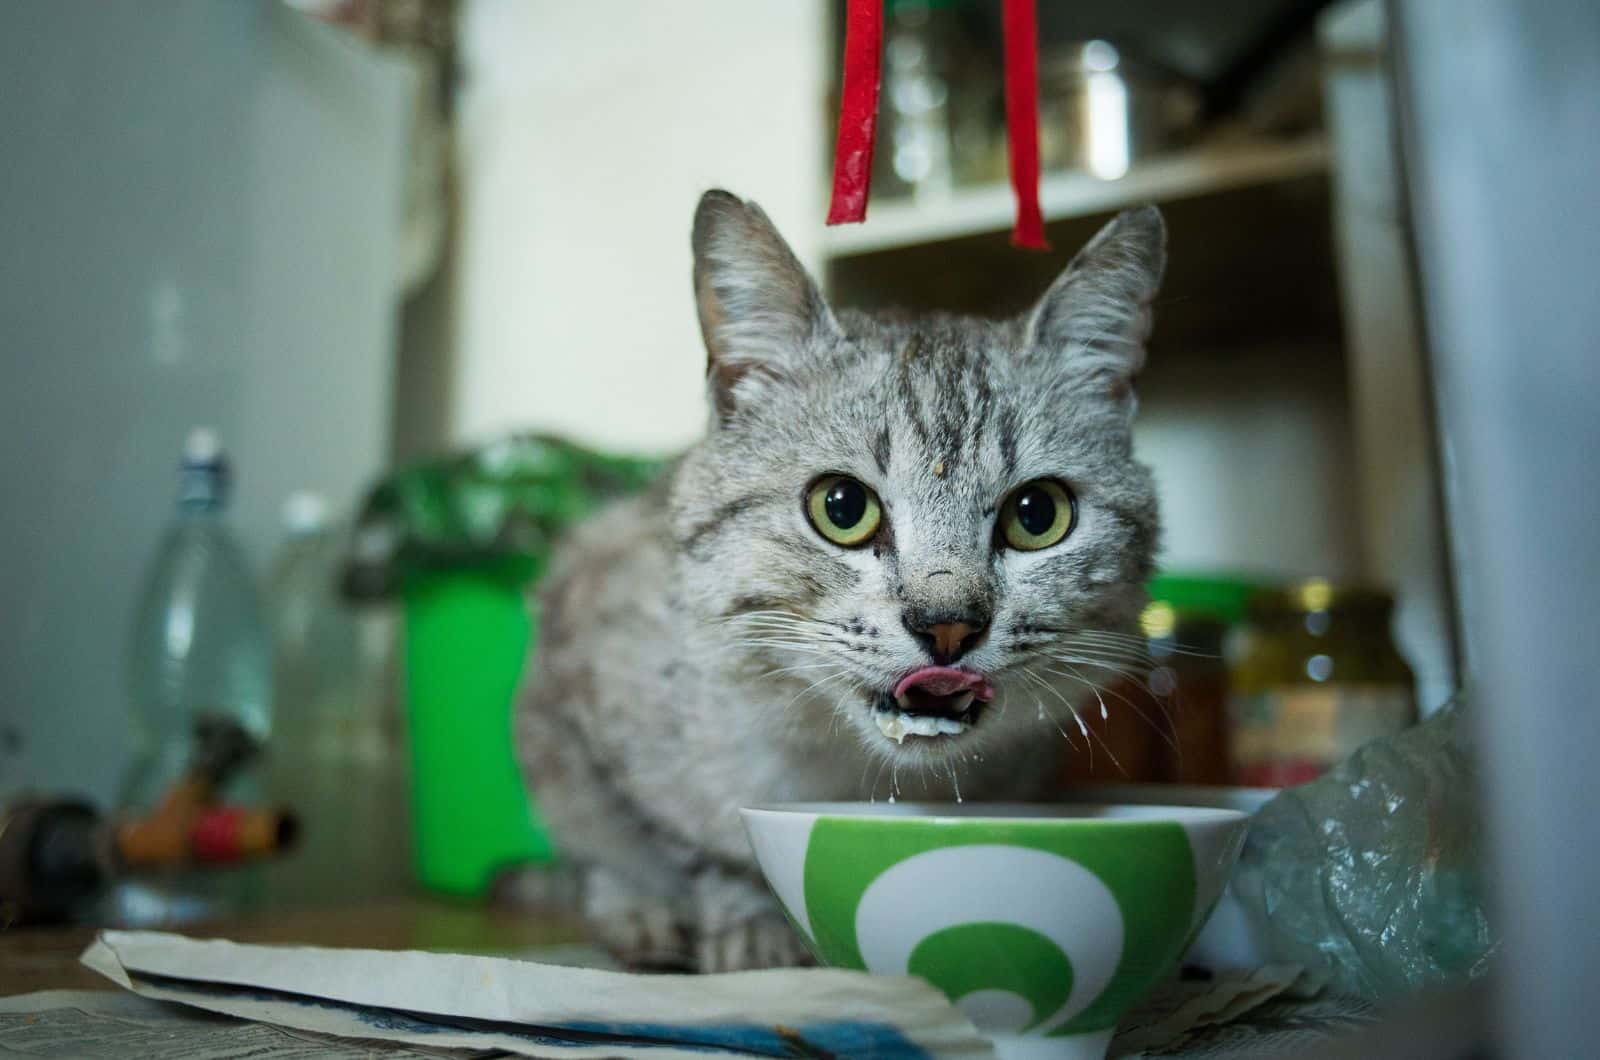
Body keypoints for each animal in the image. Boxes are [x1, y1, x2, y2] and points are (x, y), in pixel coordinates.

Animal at [518, 188, 1171, 973]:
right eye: (842, 507)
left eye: (1038, 514)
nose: (947, 625)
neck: (857, 772)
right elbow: (684, 844)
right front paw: (745, 921)